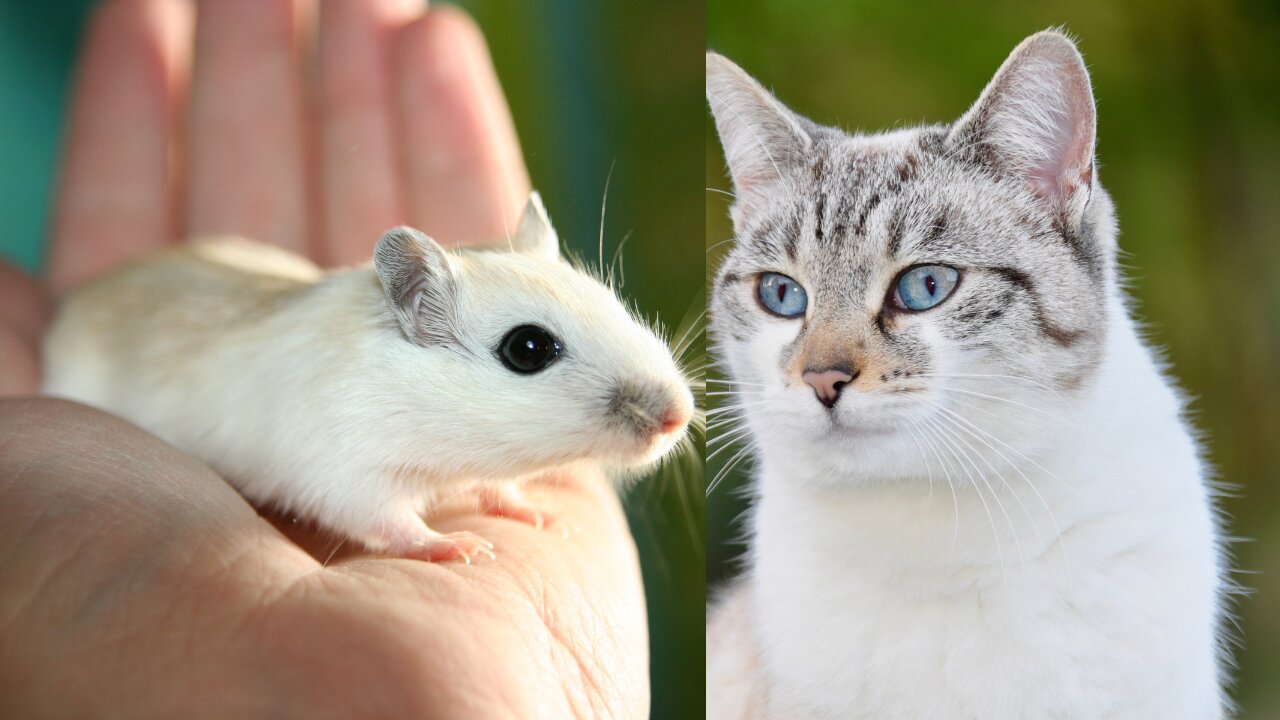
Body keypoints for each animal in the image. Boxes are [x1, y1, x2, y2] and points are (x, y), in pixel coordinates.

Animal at [45, 192, 696, 561]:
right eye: (528, 348)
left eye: (613, 302)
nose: (679, 417)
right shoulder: (346, 472)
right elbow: (391, 520)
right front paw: (458, 546)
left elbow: (495, 486)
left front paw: (535, 512)